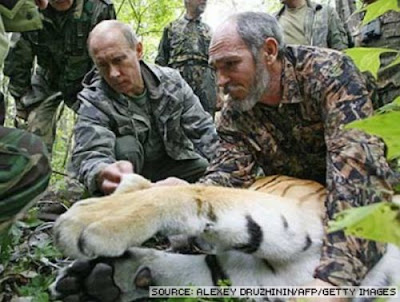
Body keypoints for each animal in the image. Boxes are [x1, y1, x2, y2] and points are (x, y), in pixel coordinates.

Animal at [50, 173, 400, 300]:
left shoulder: (306, 218)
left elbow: (196, 191)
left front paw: (91, 216)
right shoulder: (258, 276)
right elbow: (186, 269)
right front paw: (91, 280)